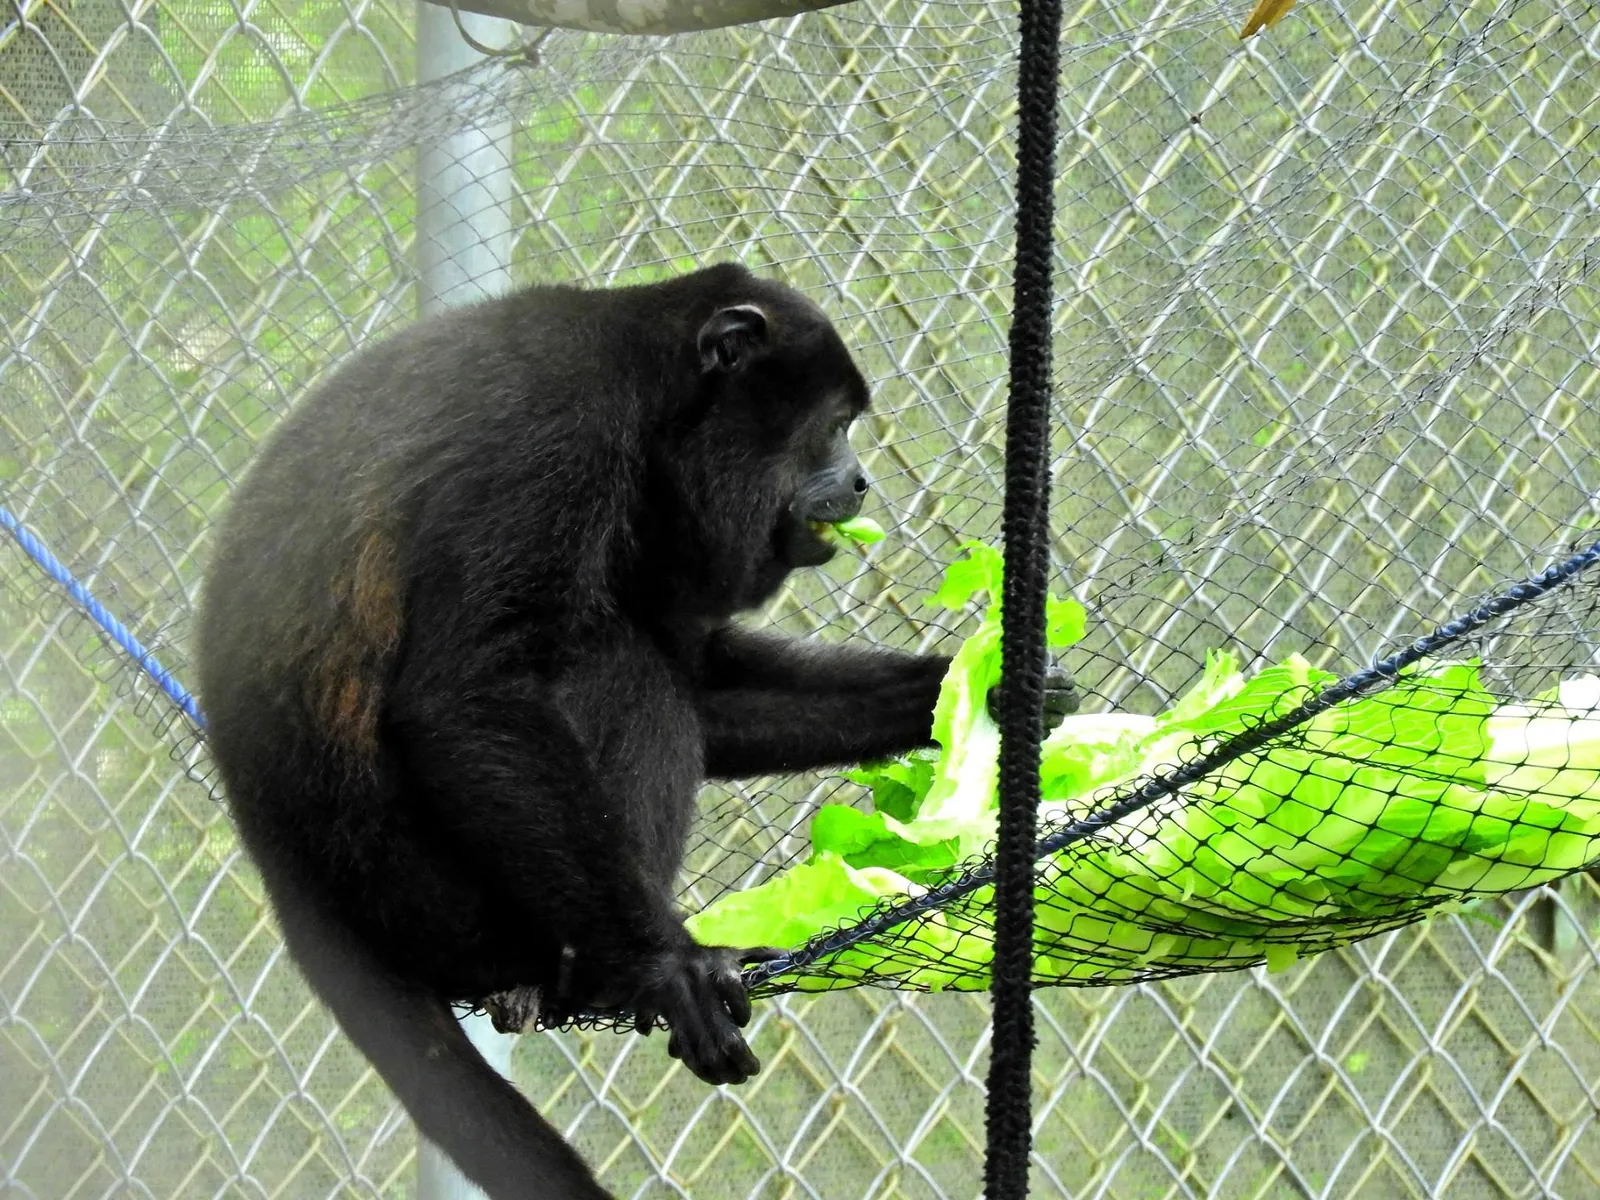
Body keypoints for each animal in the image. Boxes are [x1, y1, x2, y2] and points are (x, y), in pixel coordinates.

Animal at [194, 261, 1078, 1199]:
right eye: (834, 425)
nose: (862, 480)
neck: (648, 390)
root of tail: (293, 879)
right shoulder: (555, 433)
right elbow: (472, 690)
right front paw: (666, 966)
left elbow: (700, 675)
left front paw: (989, 689)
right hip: (444, 900)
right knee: (625, 671)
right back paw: (609, 973)